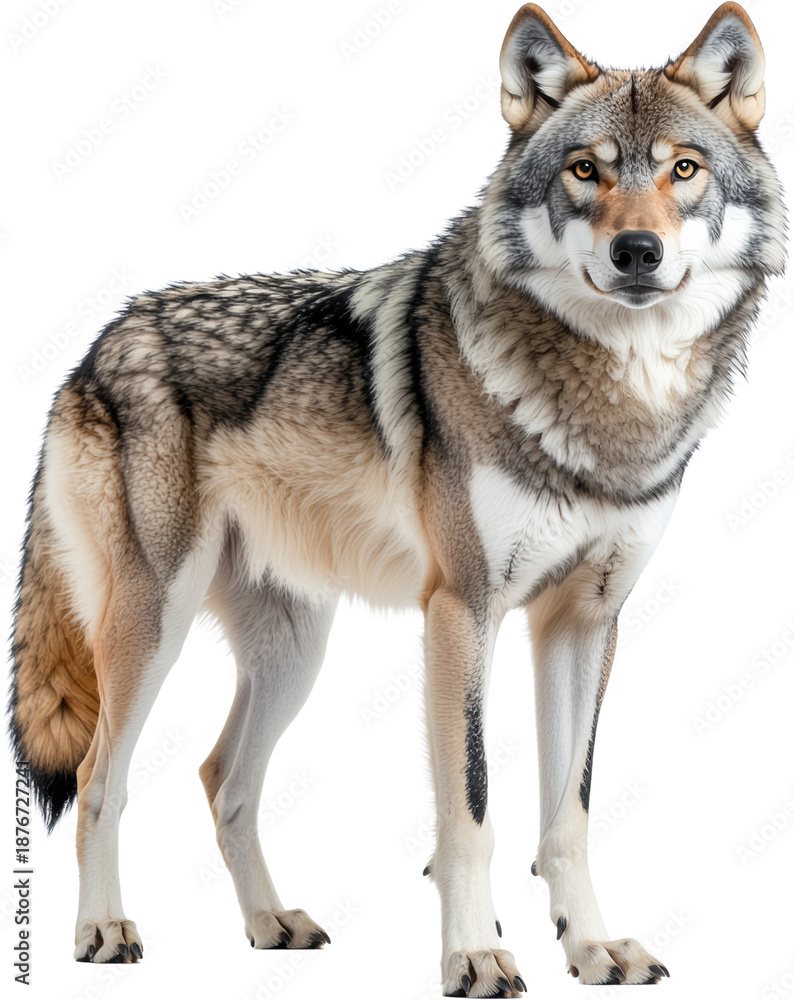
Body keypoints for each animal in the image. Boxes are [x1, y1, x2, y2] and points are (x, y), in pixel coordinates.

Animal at [7, 2, 784, 994]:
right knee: (102, 777)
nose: (637, 251)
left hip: (294, 653)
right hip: (153, 625)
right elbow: (472, 810)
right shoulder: (461, 611)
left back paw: (270, 924)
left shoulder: (584, 622)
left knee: (223, 778)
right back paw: (104, 929)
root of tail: (97, 340)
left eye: (683, 170)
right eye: (587, 170)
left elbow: (567, 814)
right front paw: (477, 954)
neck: (612, 403)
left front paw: (591, 948)